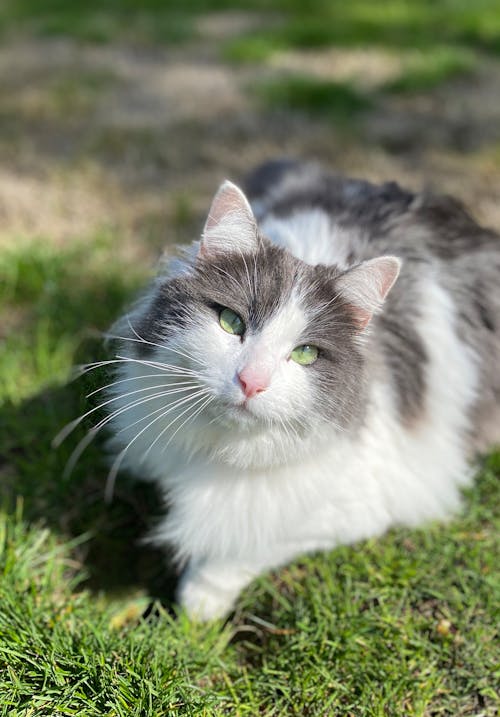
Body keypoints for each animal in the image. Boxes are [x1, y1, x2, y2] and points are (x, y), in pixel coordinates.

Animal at [101, 159, 500, 620]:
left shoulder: (360, 503)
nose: (251, 381)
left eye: (306, 354)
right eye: (231, 322)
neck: (221, 449)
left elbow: (250, 543)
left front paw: (197, 606)